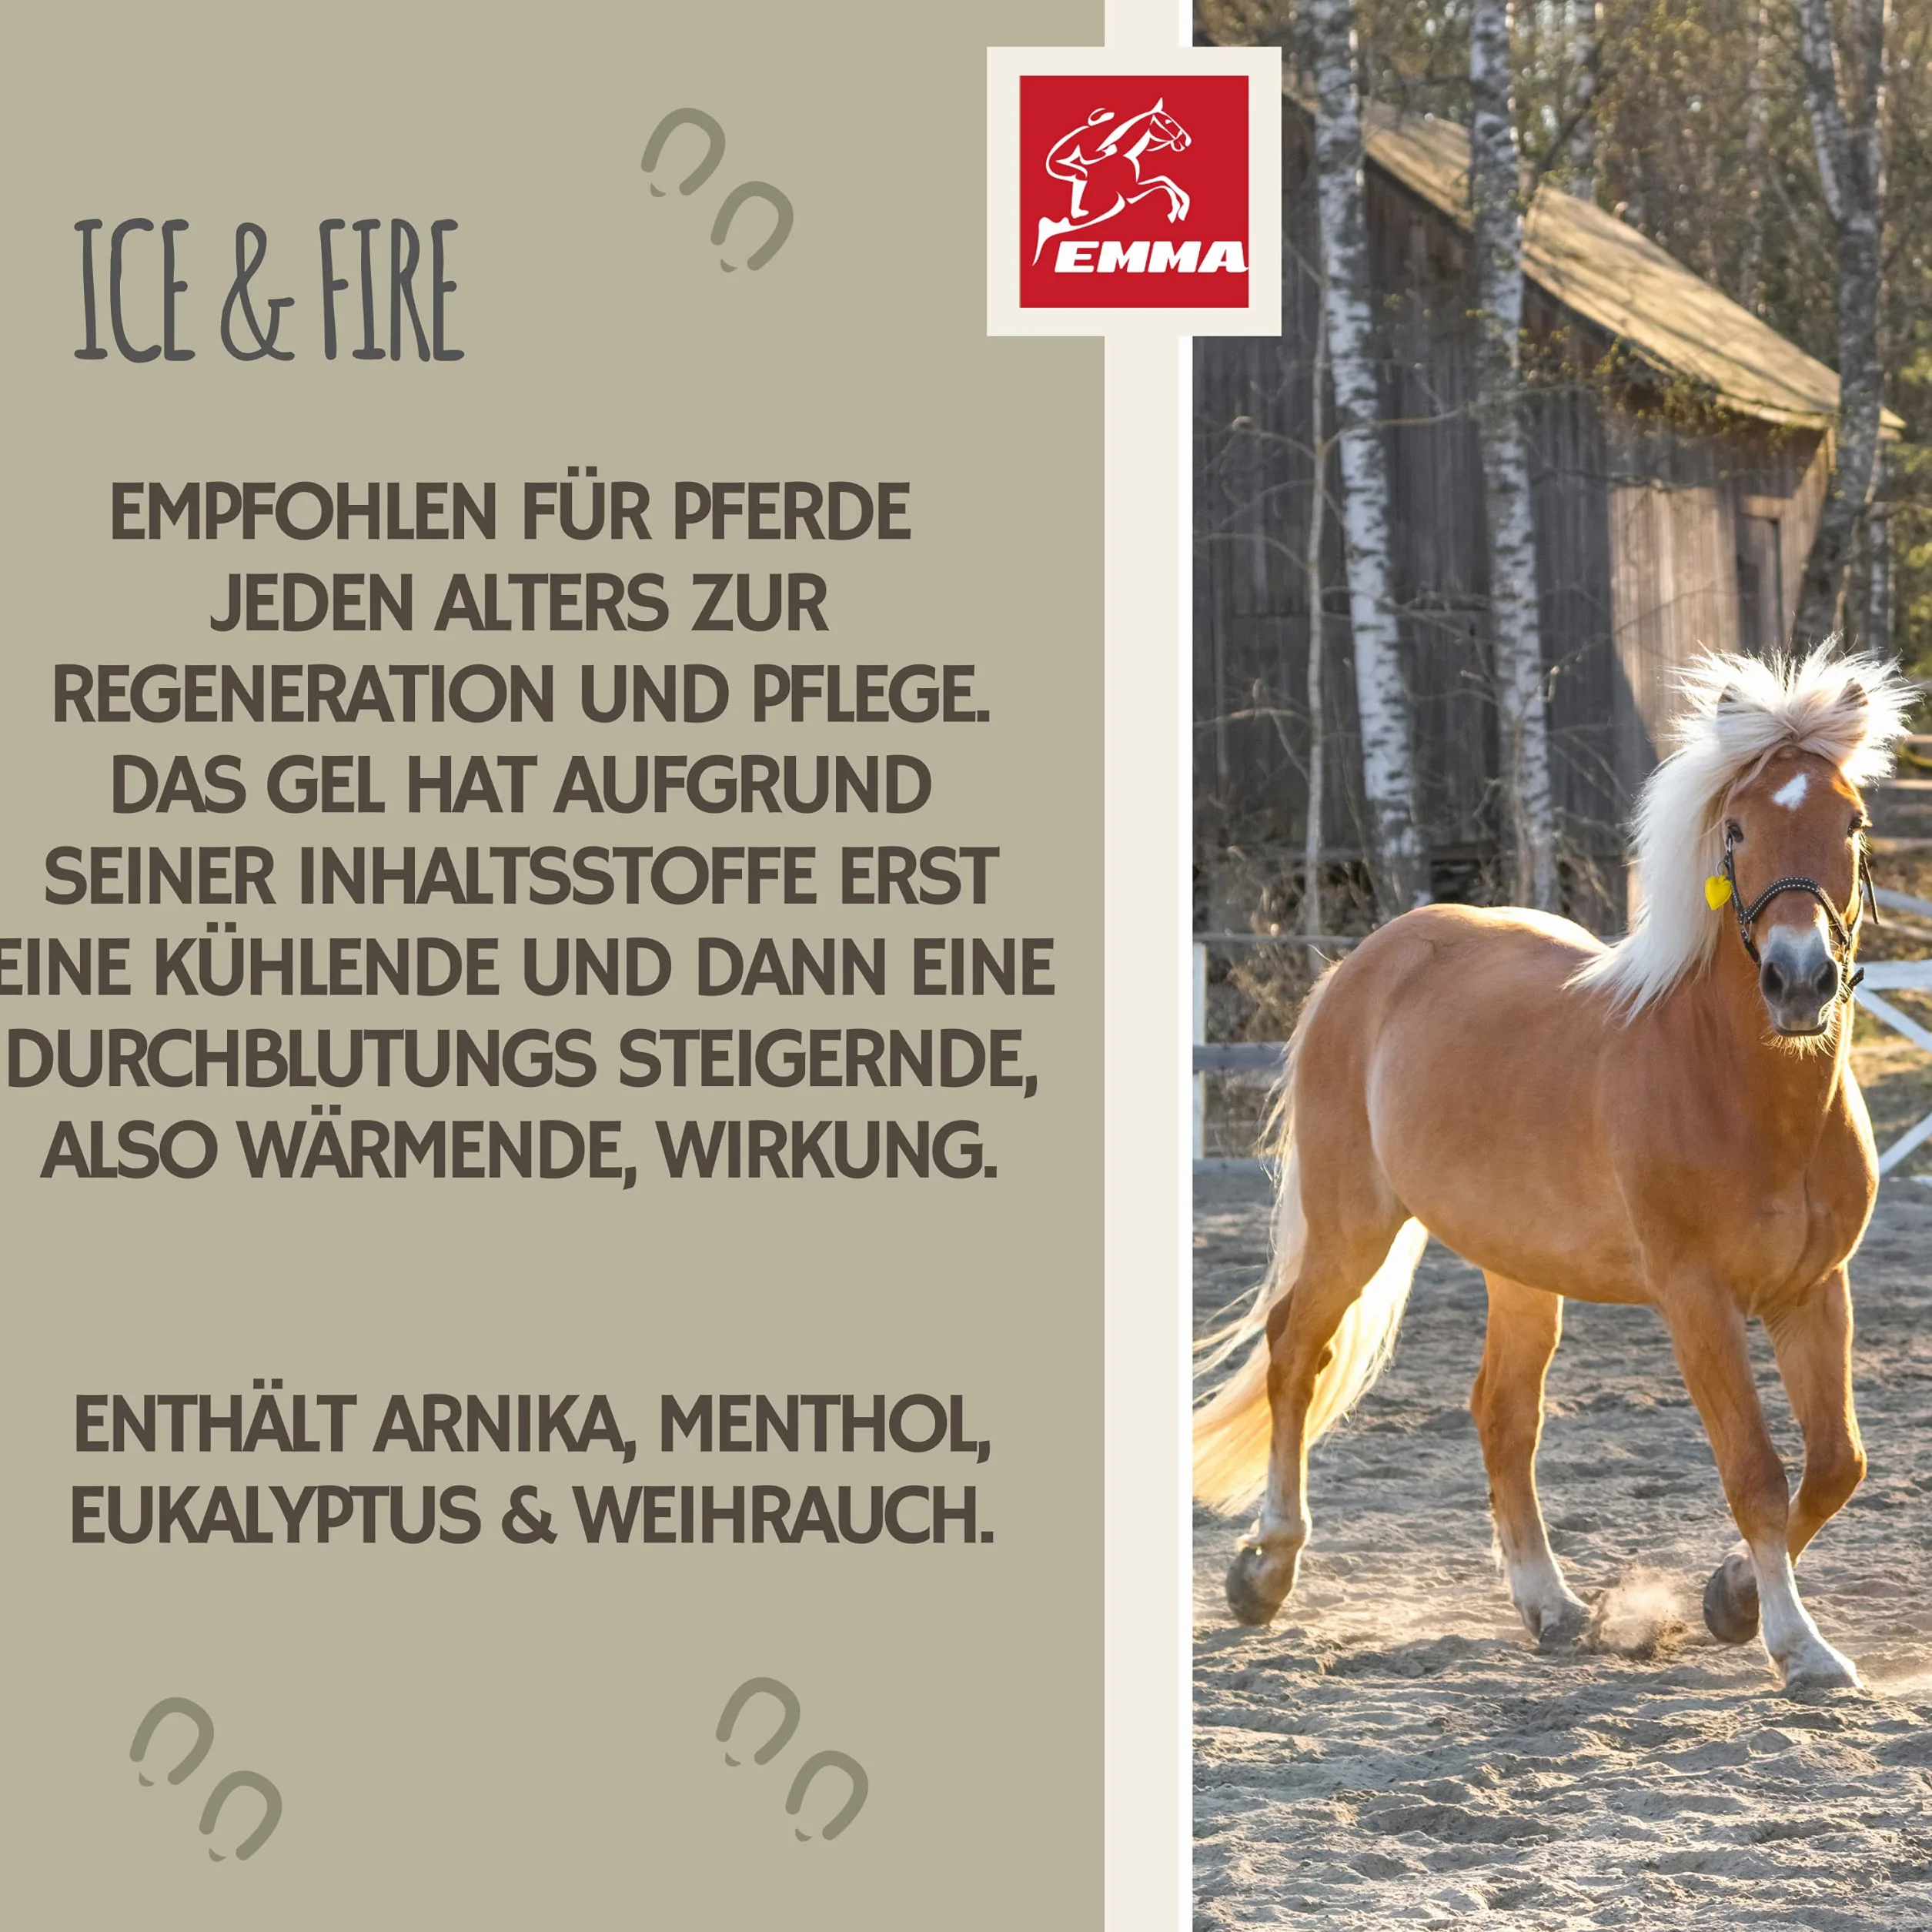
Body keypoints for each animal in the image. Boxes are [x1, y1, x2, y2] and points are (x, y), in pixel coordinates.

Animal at [1192, 646, 1913, 1691]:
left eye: (1849, 821)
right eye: (1736, 828)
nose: (1798, 981)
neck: (1743, 1092)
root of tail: (1368, 960)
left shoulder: (1814, 1289)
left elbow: (1834, 1464)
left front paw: (1729, 1598)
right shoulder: (1695, 1299)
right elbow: (1755, 1471)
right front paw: (1798, 1644)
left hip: (1518, 1269)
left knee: (1501, 1414)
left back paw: (1551, 1605)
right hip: (1349, 1222)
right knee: (1295, 1351)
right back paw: (1265, 1570)